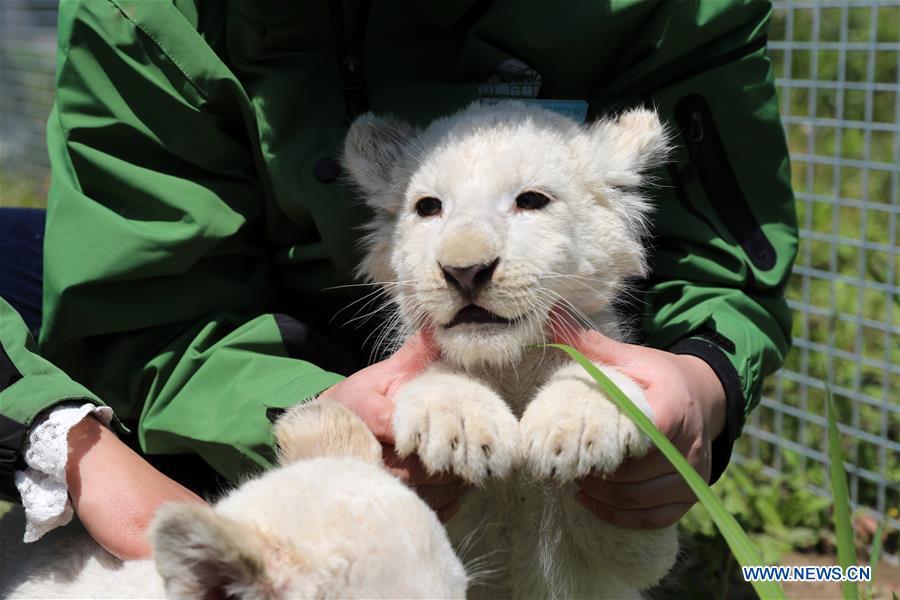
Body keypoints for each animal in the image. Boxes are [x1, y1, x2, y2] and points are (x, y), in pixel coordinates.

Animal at [342, 100, 679, 599]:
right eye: (428, 206)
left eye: (532, 200)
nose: (464, 271)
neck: (510, 368)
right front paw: (459, 428)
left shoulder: (632, 548)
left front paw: (580, 426)